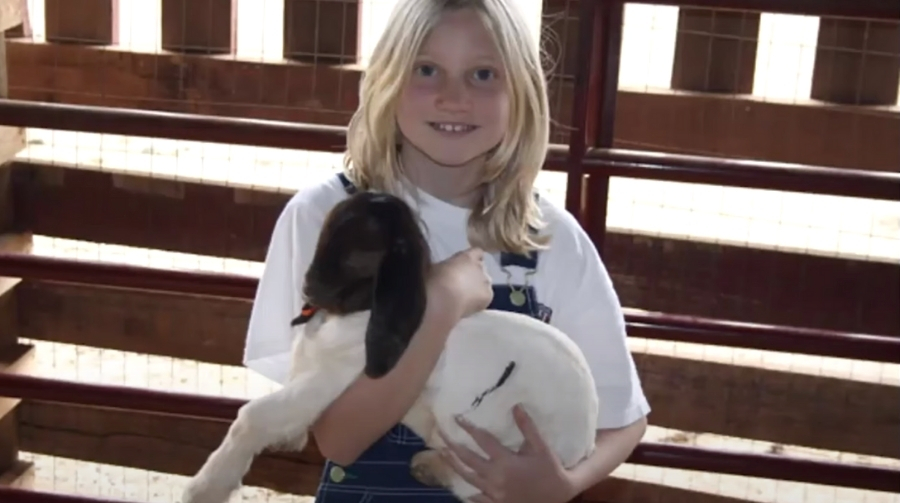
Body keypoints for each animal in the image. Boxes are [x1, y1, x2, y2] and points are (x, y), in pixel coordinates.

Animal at [180, 190, 596, 503]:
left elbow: (254, 415)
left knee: (472, 478)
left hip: (484, 433)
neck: (358, 311)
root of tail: (581, 444)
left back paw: (428, 466)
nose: (310, 288)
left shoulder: (331, 379)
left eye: (355, 252)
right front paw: (293, 434)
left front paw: (206, 488)